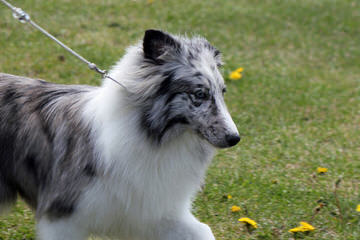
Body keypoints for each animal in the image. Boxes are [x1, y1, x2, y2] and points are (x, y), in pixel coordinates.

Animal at [0, 30, 242, 240]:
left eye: (222, 92)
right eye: (200, 94)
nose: (235, 138)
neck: (155, 137)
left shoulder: (155, 211)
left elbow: (203, 231)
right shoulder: (62, 215)